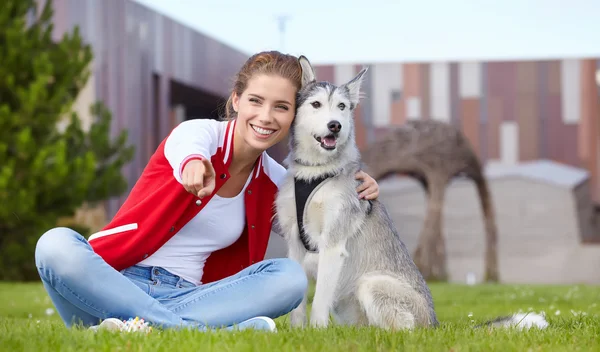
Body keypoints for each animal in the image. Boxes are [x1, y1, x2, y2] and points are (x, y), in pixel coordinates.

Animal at [274, 55, 438, 330]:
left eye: (341, 106)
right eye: (316, 104)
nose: (335, 125)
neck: (315, 173)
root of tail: (435, 323)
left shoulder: (333, 244)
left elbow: (319, 301)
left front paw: (316, 332)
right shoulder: (295, 241)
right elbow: (297, 302)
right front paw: (297, 332)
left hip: (372, 285)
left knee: (403, 331)